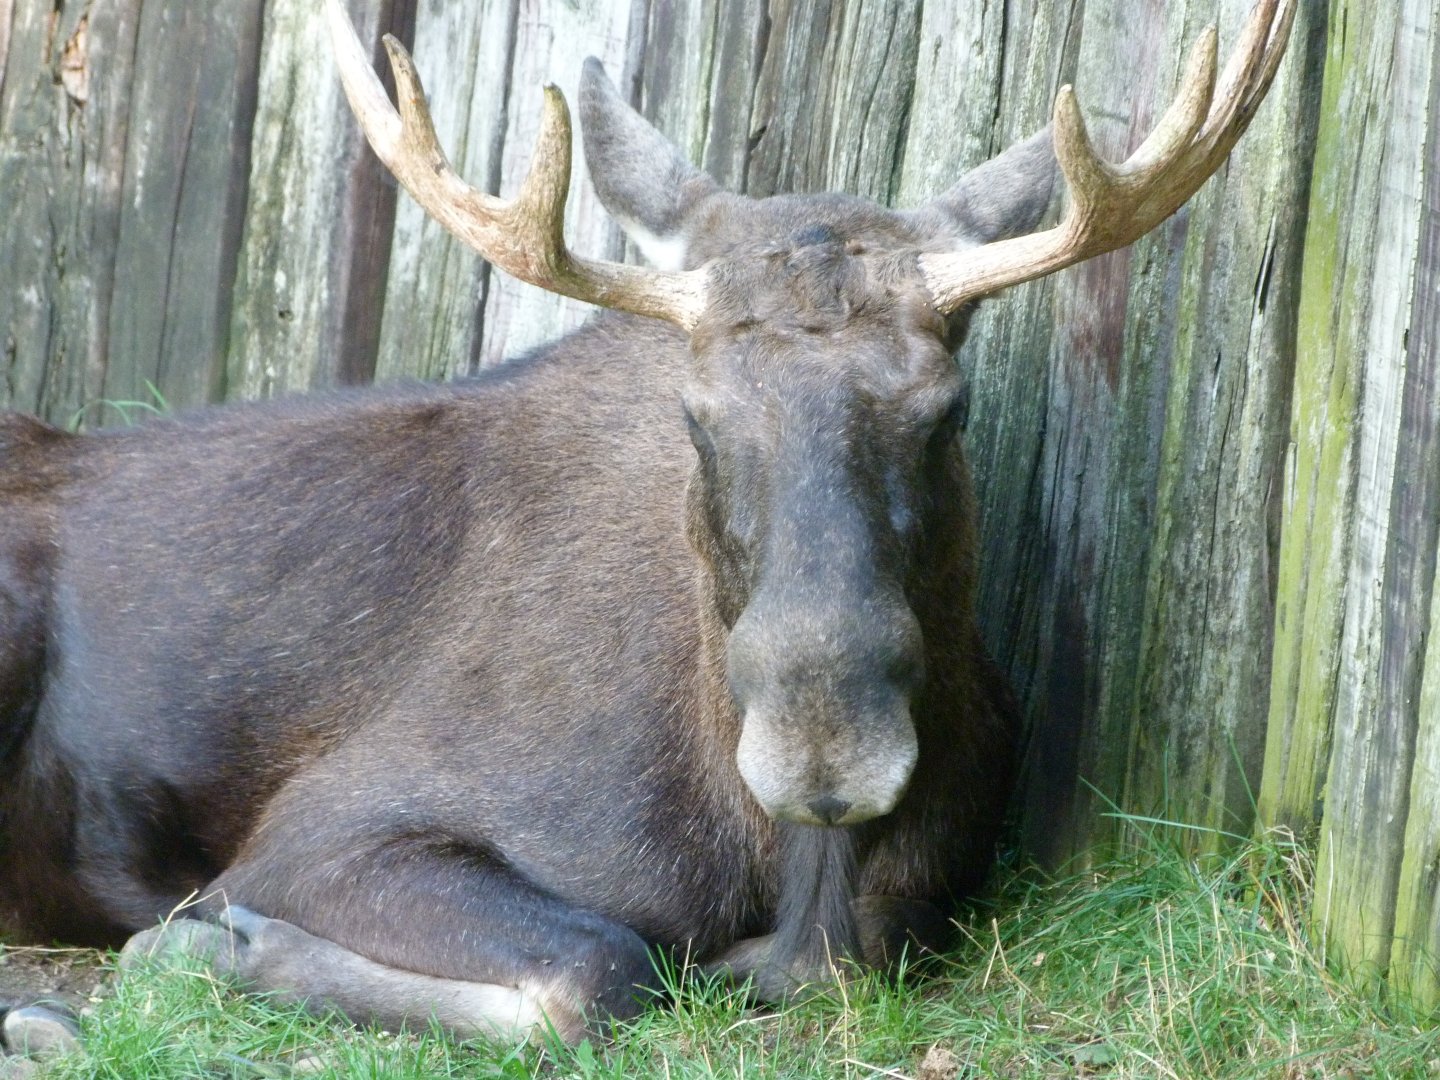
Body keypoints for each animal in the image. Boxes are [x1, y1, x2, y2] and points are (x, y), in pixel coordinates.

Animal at [0, 0, 1292, 1052]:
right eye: (695, 413)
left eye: (950, 406)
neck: (793, 855)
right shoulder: (324, 828)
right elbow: (607, 964)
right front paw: (192, 948)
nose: (826, 756)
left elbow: (805, 966)